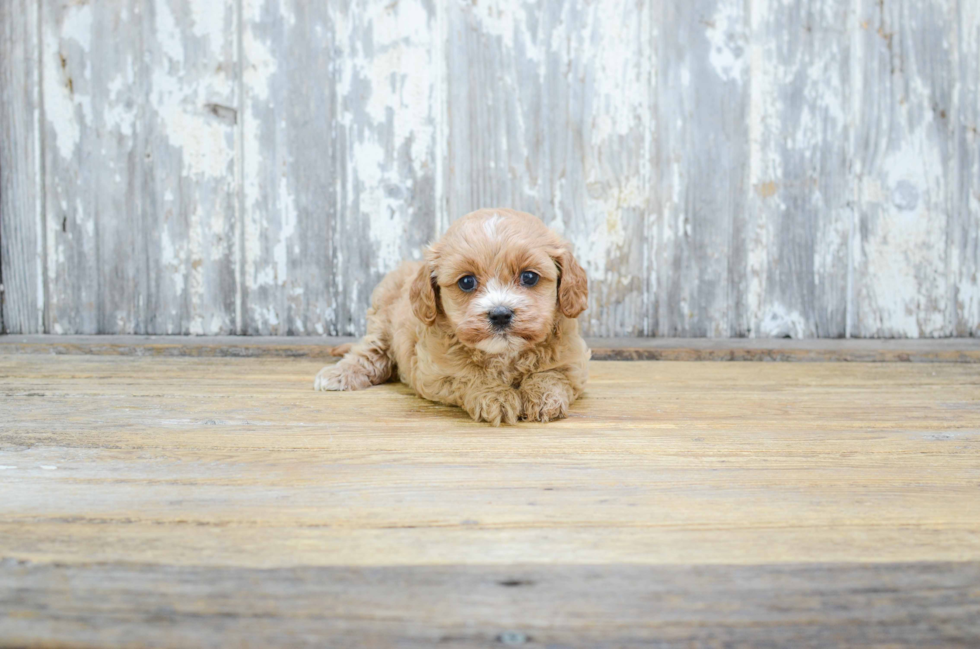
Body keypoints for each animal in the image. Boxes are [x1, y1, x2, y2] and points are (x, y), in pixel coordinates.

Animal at [316, 208, 588, 426]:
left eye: (529, 277)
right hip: (381, 325)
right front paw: (496, 396)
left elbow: (552, 375)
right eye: (466, 282)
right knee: (368, 355)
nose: (500, 314)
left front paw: (544, 399)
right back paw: (338, 375)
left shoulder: (573, 362)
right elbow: (470, 377)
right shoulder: (435, 372)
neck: (503, 354)